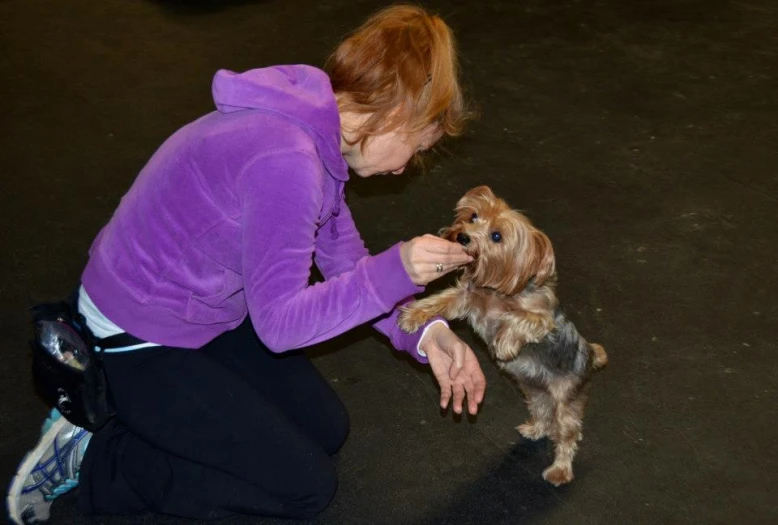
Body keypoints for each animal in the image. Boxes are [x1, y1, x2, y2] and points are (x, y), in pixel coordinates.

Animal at [400, 186, 608, 486]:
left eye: (496, 236)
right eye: (473, 216)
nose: (462, 236)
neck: (495, 291)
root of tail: (591, 356)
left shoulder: (542, 319)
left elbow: (516, 319)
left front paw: (503, 344)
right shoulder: (466, 297)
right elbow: (441, 300)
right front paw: (413, 315)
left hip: (566, 397)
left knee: (567, 433)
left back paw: (559, 470)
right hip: (535, 389)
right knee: (542, 412)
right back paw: (535, 429)